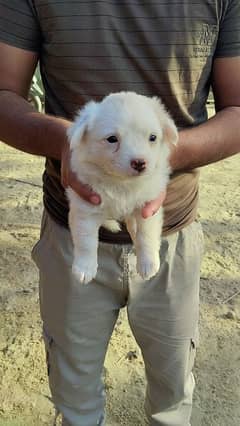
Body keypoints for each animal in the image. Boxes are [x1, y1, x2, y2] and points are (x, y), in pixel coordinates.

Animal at [66, 91, 177, 284]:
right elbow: (86, 241)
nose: (140, 163)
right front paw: (84, 269)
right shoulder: (85, 209)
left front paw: (148, 264)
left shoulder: (147, 208)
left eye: (152, 137)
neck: (122, 184)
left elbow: (146, 235)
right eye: (112, 139)